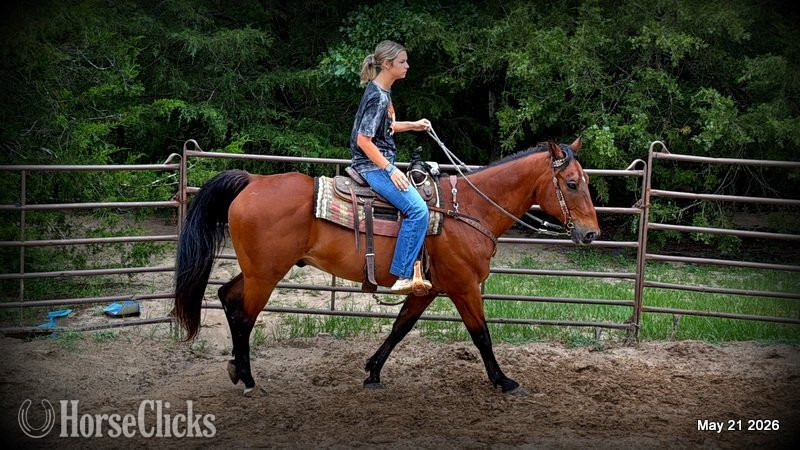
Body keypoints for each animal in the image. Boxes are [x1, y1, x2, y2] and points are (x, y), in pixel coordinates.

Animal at [173, 138, 600, 396]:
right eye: (573, 183)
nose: (591, 233)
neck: (469, 210)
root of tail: (253, 180)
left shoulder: (428, 289)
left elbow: (400, 328)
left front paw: (373, 371)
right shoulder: (463, 287)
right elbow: (482, 336)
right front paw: (503, 380)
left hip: (257, 270)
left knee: (227, 297)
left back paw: (236, 369)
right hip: (266, 275)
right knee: (244, 315)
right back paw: (248, 378)